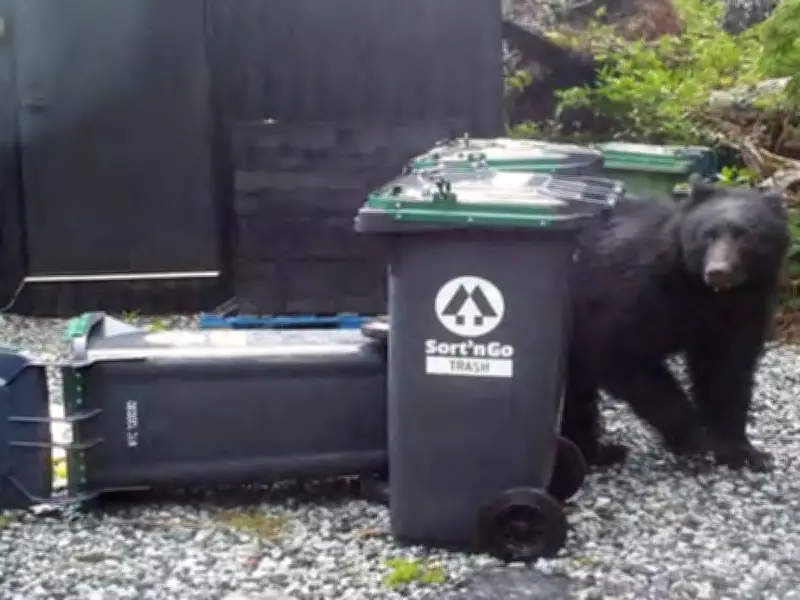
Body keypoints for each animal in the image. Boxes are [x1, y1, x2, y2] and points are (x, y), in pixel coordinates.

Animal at [560, 175, 791, 472]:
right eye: (708, 234)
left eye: (746, 235)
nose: (718, 272)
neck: (703, 291)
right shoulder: (634, 292)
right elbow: (622, 353)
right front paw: (694, 436)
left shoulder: (742, 307)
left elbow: (727, 371)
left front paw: (743, 451)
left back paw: (599, 451)